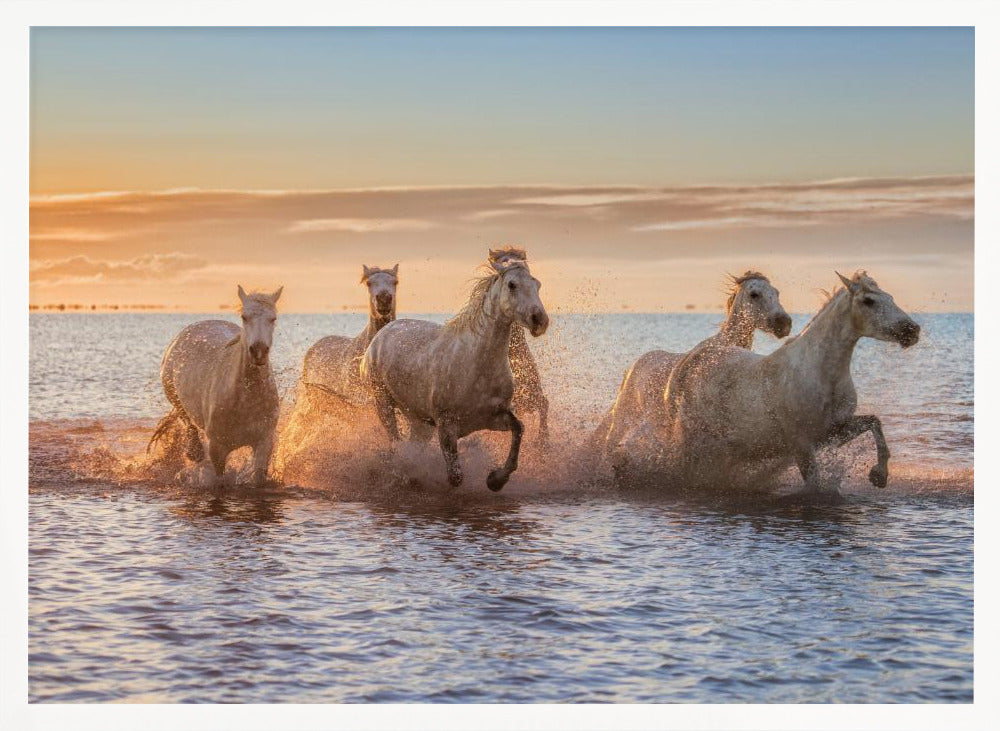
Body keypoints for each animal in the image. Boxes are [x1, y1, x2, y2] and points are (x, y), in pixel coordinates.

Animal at [149, 285, 283, 487]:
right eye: (244, 317)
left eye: (273, 318)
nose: (258, 351)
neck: (245, 401)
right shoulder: (217, 449)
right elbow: (219, 480)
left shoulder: (264, 442)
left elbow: (258, 478)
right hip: (175, 398)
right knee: (187, 421)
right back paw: (194, 452)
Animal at [488, 247, 550, 446]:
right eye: (503, 261)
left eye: (536, 282)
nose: (539, 320)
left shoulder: (532, 396)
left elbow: (544, 405)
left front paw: (543, 440)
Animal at [654, 271, 919, 494]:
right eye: (869, 301)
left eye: (890, 297)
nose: (912, 330)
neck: (821, 374)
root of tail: (691, 358)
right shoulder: (801, 443)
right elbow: (814, 484)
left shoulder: (833, 432)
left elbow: (875, 423)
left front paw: (879, 476)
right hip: (692, 439)